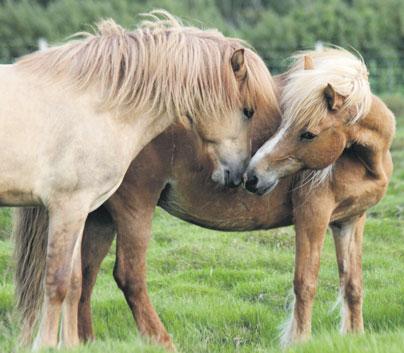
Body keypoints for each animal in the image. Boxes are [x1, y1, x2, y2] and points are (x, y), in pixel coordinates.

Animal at [2, 10, 274, 346]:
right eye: (248, 111)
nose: (239, 176)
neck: (95, 108)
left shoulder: (81, 210)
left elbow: (75, 283)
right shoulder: (67, 207)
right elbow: (57, 281)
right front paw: (46, 345)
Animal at [13, 49, 394, 350]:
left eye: (308, 133)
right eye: (290, 125)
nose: (252, 176)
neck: (362, 157)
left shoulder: (350, 221)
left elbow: (353, 284)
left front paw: (355, 337)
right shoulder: (313, 217)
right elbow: (306, 281)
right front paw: (298, 341)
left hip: (97, 216)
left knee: (84, 278)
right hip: (133, 209)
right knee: (129, 276)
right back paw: (161, 341)